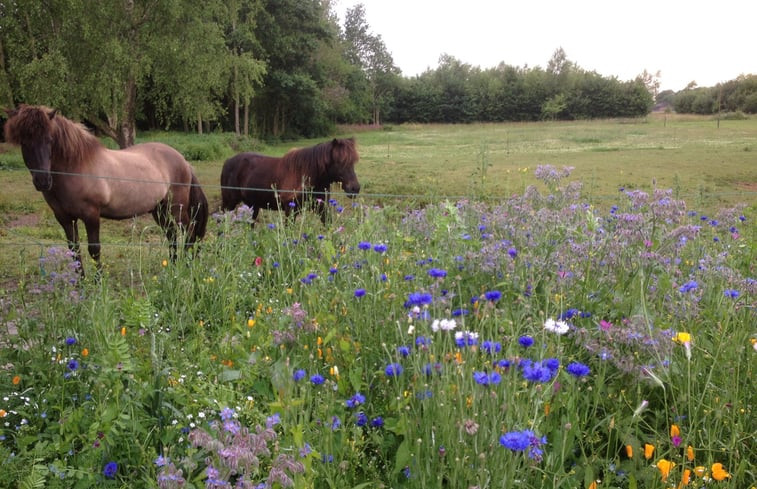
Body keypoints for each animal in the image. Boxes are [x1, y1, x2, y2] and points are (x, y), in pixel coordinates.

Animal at [5, 104, 210, 272]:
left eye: (49, 140)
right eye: (24, 142)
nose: (42, 181)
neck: (76, 168)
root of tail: (183, 161)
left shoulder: (91, 215)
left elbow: (94, 250)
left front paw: (97, 284)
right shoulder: (64, 218)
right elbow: (74, 250)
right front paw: (80, 285)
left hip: (176, 208)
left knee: (189, 231)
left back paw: (186, 266)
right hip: (159, 209)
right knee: (172, 235)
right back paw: (173, 268)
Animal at [219, 135, 360, 223]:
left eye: (353, 162)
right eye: (339, 162)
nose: (355, 188)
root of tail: (227, 161)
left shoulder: (321, 208)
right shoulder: (290, 210)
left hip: (252, 206)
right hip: (229, 204)